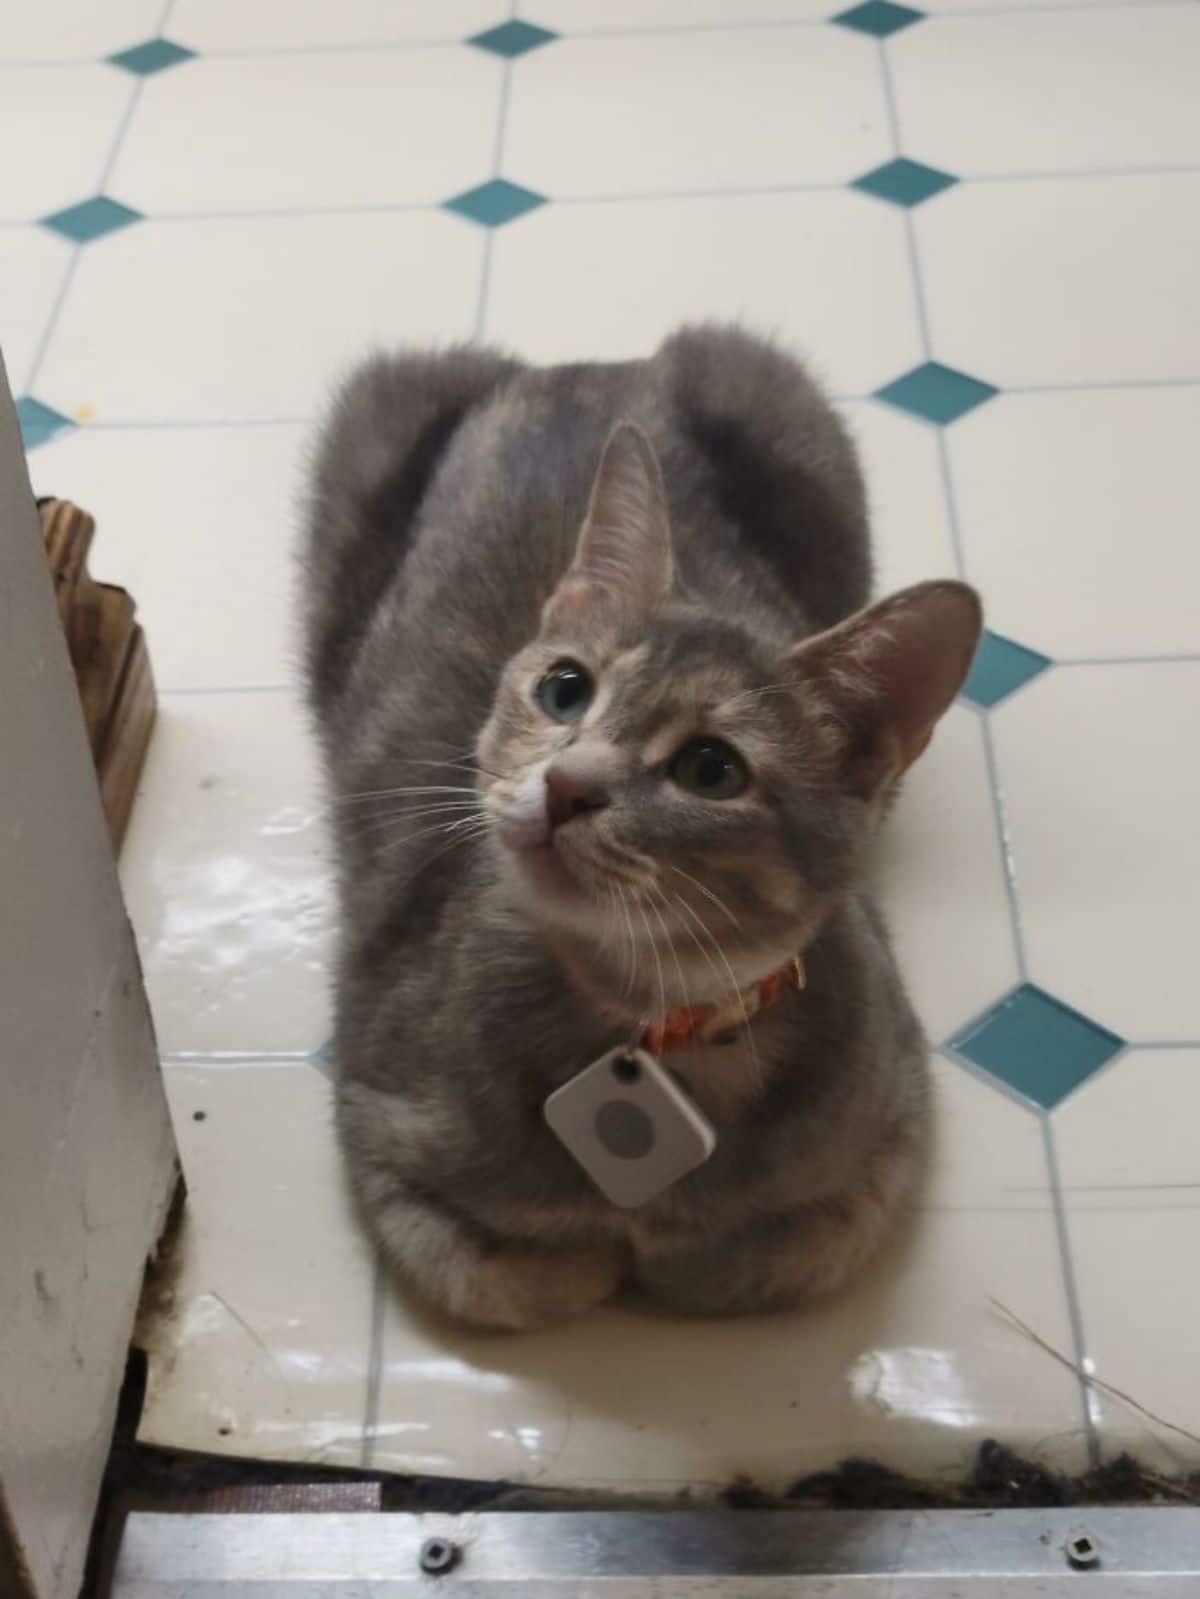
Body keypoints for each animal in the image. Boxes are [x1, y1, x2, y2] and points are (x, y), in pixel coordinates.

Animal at [305, 321, 979, 1323]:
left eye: (712, 769)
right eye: (565, 688)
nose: (567, 785)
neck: (649, 1017)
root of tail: (589, 365)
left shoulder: (892, 1128)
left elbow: (763, 1254)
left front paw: (680, 1252)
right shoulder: (379, 1132)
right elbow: (522, 1273)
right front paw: (604, 1251)